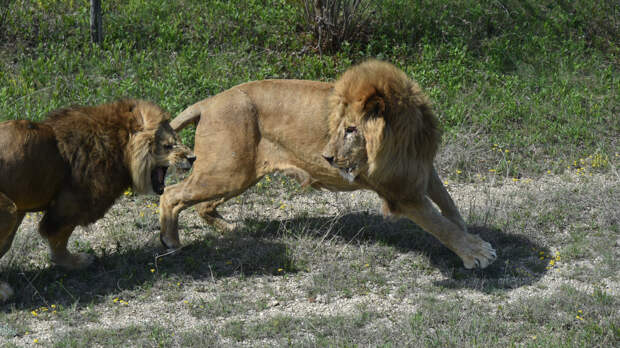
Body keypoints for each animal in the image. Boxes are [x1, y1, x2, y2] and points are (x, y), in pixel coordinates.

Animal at [0, 99, 196, 300]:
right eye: (168, 145)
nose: (193, 158)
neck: (118, 146)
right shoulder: (72, 204)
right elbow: (57, 237)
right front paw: (75, 261)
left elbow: (8, 245)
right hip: (8, 209)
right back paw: (3, 291)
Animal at [161, 59, 498, 270]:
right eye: (340, 127)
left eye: (350, 129)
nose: (327, 158)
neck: (406, 134)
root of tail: (208, 102)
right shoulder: (400, 193)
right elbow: (440, 223)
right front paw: (476, 253)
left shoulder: (422, 170)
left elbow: (451, 209)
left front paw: (474, 238)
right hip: (227, 171)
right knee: (171, 194)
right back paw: (171, 241)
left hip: (237, 175)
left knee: (201, 205)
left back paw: (228, 229)